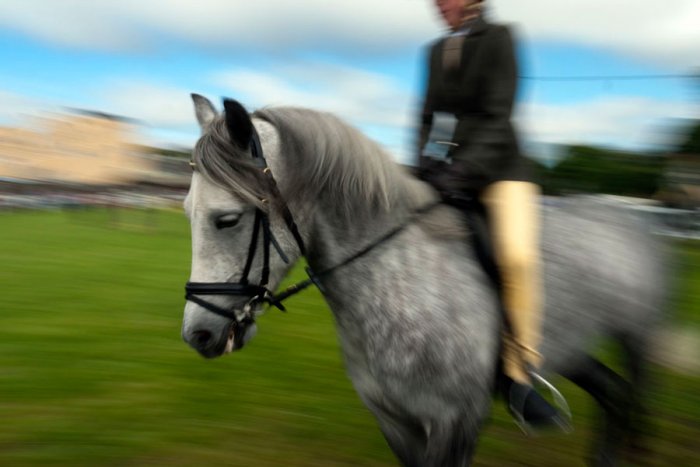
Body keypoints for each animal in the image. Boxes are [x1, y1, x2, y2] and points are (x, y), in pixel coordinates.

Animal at [181, 94, 669, 466]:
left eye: (227, 219)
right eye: (187, 212)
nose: (197, 336)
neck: (398, 288)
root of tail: (629, 216)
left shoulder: (455, 422)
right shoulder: (396, 421)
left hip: (637, 337)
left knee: (631, 396)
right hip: (571, 346)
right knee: (613, 395)